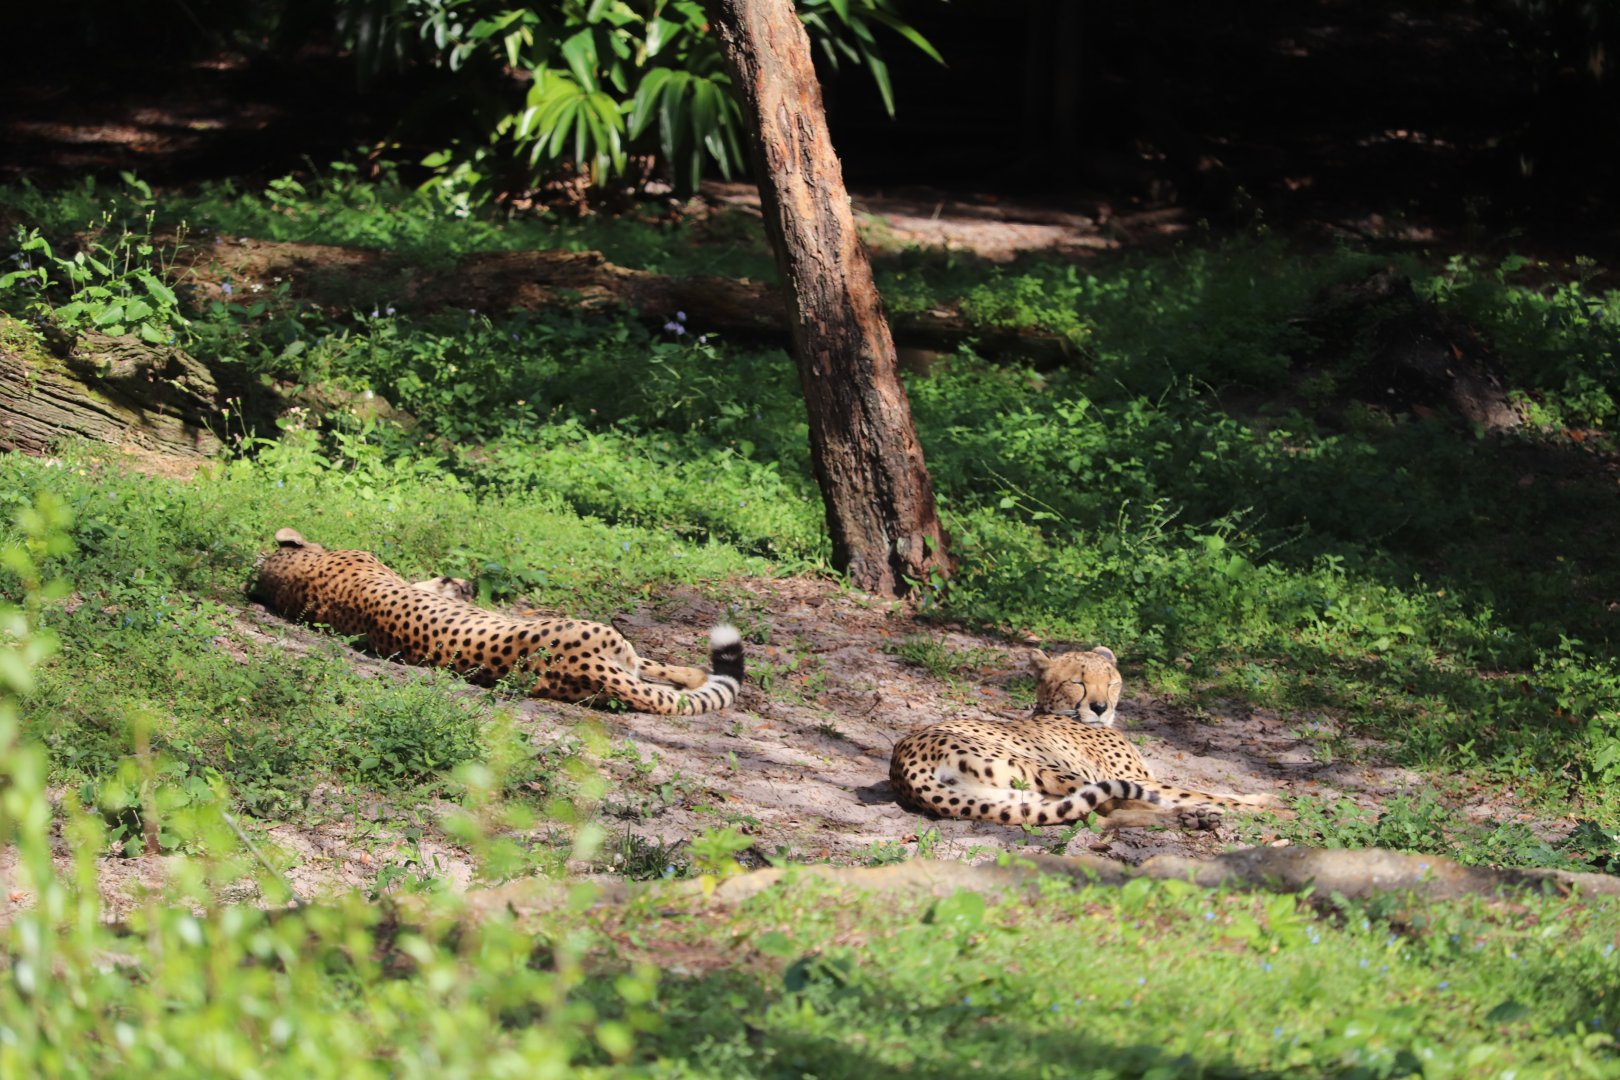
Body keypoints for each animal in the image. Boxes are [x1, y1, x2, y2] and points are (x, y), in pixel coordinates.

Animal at [251, 528, 744, 715]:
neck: (297, 580)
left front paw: (455, 583)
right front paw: (456, 584)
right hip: (608, 639)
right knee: (655, 670)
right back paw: (697, 673)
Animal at [889, 646, 1281, 830]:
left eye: (1111, 680)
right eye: (1077, 682)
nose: (1100, 707)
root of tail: (903, 764)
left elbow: (1214, 791)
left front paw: (1260, 798)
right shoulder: (1134, 778)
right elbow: (1204, 793)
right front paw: (1272, 806)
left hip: (1019, 798)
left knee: (1094, 816)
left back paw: (1190, 818)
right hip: (1045, 767)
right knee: (1112, 806)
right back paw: (1191, 815)